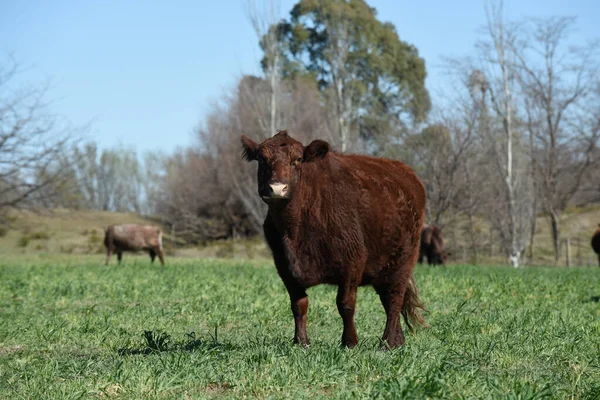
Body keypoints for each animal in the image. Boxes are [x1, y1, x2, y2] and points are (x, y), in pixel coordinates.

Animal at [239, 132, 426, 350]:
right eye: (262, 159)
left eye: (297, 160)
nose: (277, 188)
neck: (294, 231)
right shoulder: (284, 266)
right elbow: (298, 305)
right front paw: (301, 342)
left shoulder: (353, 261)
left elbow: (345, 304)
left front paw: (350, 342)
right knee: (389, 301)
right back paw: (397, 341)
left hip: (403, 261)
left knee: (394, 300)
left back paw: (386, 343)